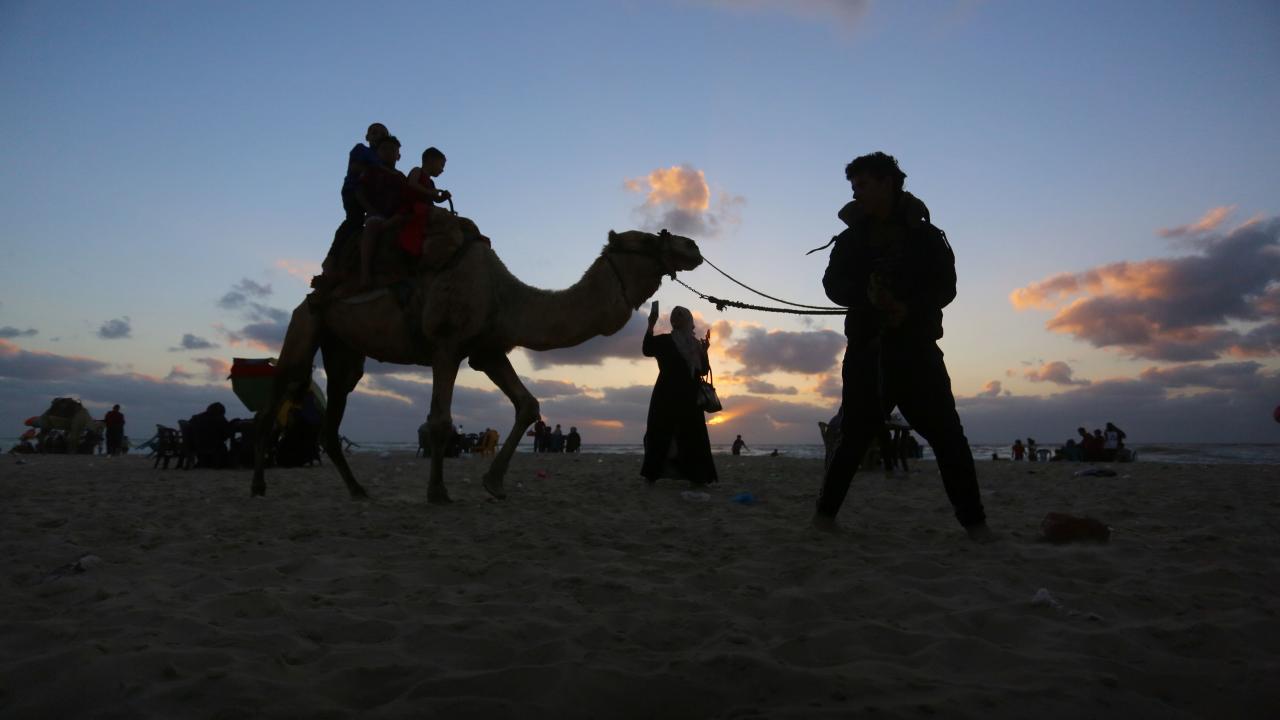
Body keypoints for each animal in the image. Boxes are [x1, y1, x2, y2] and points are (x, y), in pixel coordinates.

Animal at [253, 227, 703, 502]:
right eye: (647, 239)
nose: (692, 247)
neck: (505, 296)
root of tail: (317, 289)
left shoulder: (488, 351)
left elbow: (528, 405)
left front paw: (494, 483)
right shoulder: (446, 344)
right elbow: (439, 421)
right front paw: (438, 493)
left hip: (344, 349)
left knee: (335, 406)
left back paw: (358, 490)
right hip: (306, 322)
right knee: (279, 393)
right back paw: (258, 485)